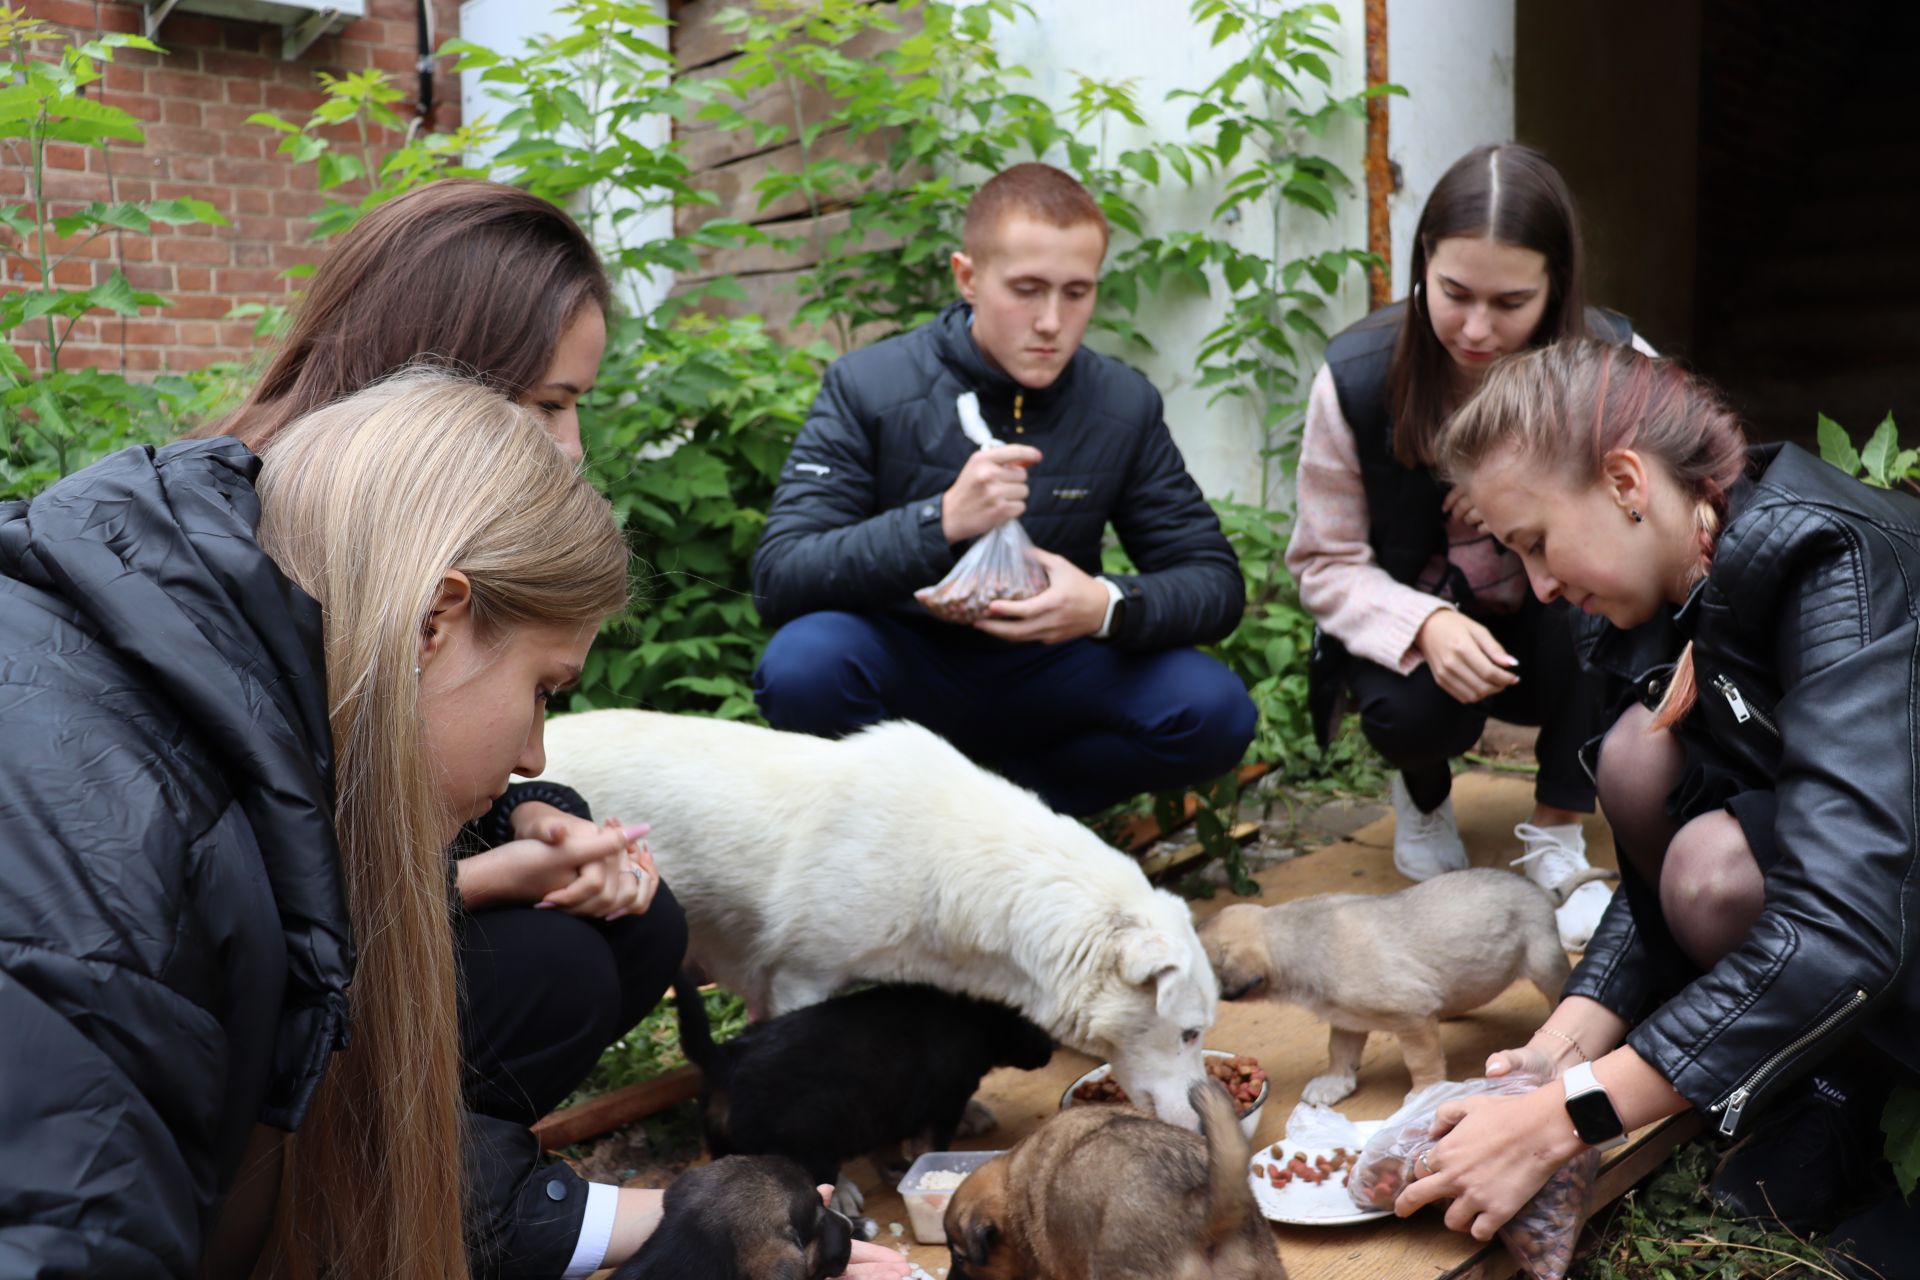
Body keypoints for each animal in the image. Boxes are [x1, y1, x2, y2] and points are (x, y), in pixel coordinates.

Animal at [679, 974, 1052, 1220]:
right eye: (1035, 1023)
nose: (1052, 1049)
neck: (971, 1018)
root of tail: (724, 1061)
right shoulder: (943, 1105)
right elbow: (929, 1148)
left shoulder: (885, 1110)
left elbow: (886, 1149)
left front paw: (898, 1170)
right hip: (807, 1150)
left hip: (723, 1145)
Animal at [1190, 871, 1597, 1113]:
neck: (1300, 937)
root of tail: (1539, 890)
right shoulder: (1346, 1021)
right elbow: (1339, 1053)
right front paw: (1334, 1083)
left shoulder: (1412, 1016)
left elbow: (1421, 1061)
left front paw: (1424, 1093)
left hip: (1543, 960)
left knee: (1558, 987)